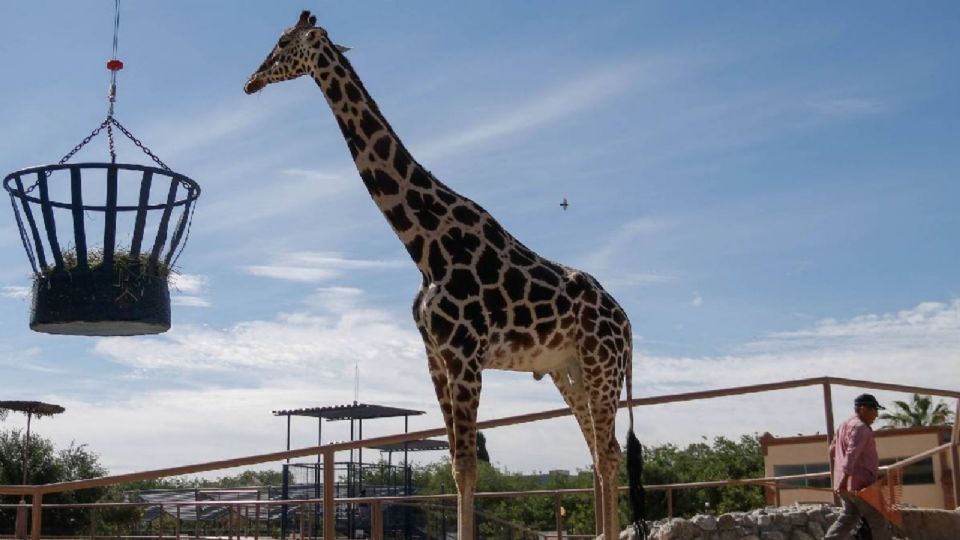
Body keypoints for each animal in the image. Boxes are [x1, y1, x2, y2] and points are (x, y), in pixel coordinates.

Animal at [245, 11, 646, 539]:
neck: (424, 246)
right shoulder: (435, 357)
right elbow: (458, 465)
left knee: (609, 452)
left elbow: (469, 467)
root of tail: (627, 323)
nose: (250, 81)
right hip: (569, 369)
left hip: (603, 365)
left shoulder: (464, 356)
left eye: (283, 42)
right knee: (599, 451)